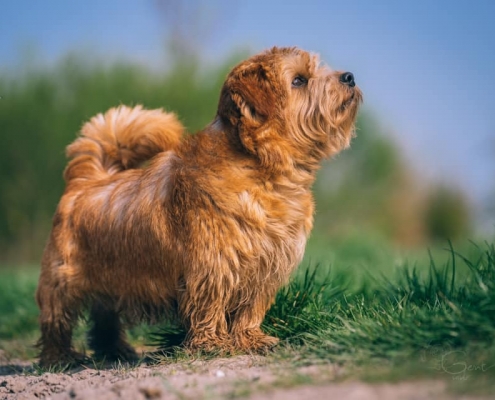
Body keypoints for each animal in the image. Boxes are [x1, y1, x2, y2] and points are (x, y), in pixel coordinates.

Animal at [34, 46, 360, 366]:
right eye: (299, 80)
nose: (349, 76)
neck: (263, 170)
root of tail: (87, 180)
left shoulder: (266, 265)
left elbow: (250, 309)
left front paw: (250, 339)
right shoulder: (213, 266)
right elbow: (210, 306)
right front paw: (213, 344)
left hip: (114, 281)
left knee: (105, 318)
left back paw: (115, 351)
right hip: (63, 279)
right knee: (56, 320)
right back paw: (60, 358)